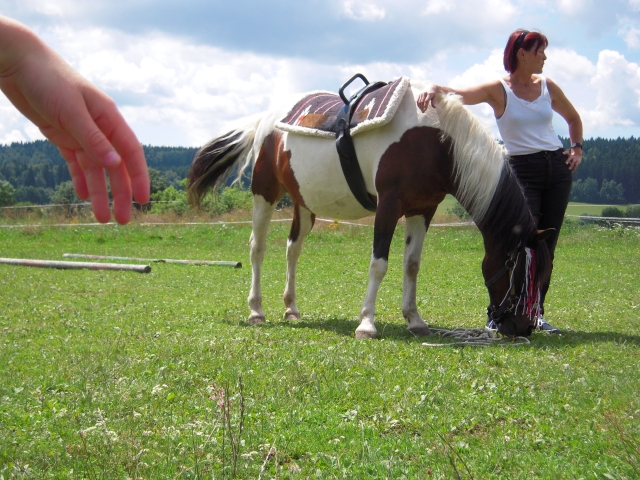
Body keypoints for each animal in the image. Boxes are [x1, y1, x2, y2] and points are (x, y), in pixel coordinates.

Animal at [187, 78, 552, 339]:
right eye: (519, 269)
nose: (522, 327)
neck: (433, 140)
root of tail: (265, 120)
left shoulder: (423, 209)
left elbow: (412, 265)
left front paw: (415, 320)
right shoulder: (389, 205)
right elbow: (379, 264)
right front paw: (366, 324)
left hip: (303, 203)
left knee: (293, 249)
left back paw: (291, 308)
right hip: (265, 194)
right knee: (258, 248)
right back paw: (256, 311)